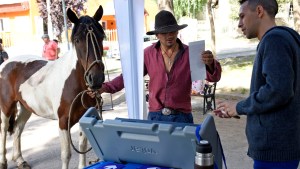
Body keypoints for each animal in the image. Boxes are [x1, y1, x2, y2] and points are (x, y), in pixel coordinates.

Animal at [0, 5, 106, 169]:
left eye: (101, 37)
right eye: (77, 40)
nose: (96, 78)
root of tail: (6, 64)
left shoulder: (85, 116)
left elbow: (82, 146)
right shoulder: (63, 122)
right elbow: (66, 154)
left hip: (26, 107)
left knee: (18, 128)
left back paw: (20, 160)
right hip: (6, 106)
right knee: (4, 130)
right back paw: (3, 162)